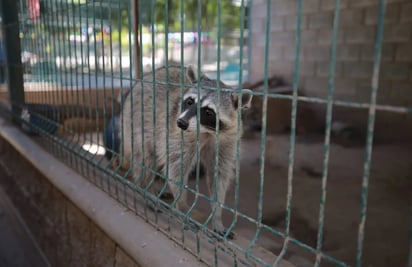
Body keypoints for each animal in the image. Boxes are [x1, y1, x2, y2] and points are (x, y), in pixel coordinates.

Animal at [120, 65, 253, 239]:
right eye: (190, 102)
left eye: (208, 112)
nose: (181, 122)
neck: (207, 132)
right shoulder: (177, 134)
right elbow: (176, 169)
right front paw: (183, 207)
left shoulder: (228, 141)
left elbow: (219, 176)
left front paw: (217, 215)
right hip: (137, 120)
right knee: (145, 158)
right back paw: (146, 188)